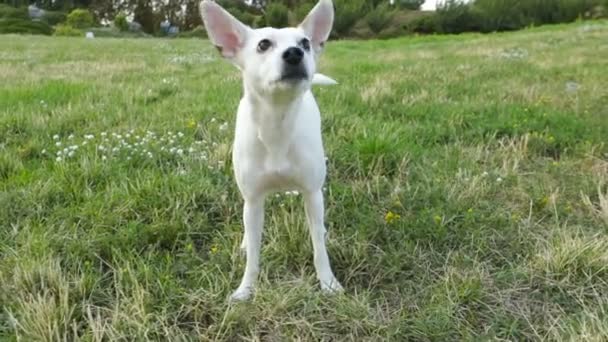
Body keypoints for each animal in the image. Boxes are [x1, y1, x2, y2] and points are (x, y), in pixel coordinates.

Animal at [200, 0, 342, 300]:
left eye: (305, 43)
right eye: (263, 44)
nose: (295, 53)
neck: (277, 122)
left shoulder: (312, 193)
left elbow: (318, 248)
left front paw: (328, 283)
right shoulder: (254, 200)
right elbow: (254, 255)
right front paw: (246, 290)